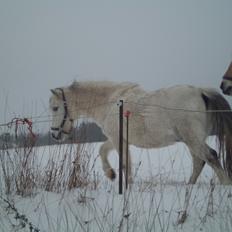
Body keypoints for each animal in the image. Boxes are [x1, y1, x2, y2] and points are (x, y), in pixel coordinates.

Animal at [49, 80, 232, 186]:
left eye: (55, 108)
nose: (54, 135)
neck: (110, 102)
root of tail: (201, 91)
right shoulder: (118, 139)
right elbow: (103, 150)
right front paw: (111, 174)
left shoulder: (117, 139)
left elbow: (124, 163)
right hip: (191, 140)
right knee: (199, 162)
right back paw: (190, 185)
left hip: (192, 139)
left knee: (211, 157)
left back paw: (225, 185)